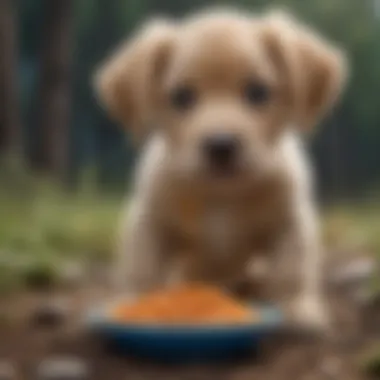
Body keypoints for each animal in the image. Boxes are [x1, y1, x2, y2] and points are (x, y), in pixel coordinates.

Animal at [94, 8, 348, 330]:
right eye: (181, 96)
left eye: (258, 92)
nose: (221, 145)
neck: (221, 196)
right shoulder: (149, 220)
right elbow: (142, 268)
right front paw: (138, 307)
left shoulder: (291, 220)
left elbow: (291, 269)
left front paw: (297, 307)